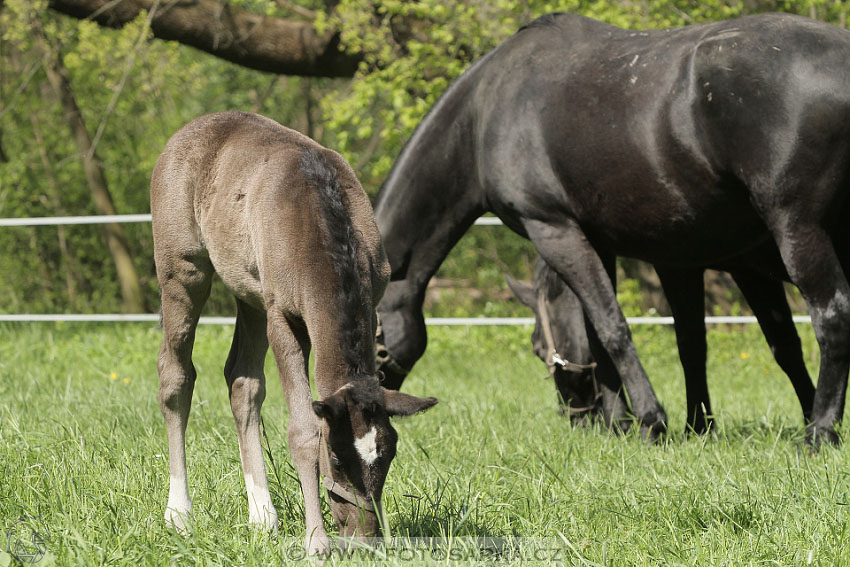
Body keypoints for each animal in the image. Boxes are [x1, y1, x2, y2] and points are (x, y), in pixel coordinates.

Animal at [150, 111, 438, 556]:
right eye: (335, 459)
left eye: (389, 456)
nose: (364, 539)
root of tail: (187, 131)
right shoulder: (282, 319)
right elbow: (302, 431)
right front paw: (316, 541)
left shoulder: (369, 305)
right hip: (183, 272)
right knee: (176, 376)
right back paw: (179, 513)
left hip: (250, 293)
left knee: (242, 382)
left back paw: (262, 516)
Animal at [504, 255, 816, 432]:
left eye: (537, 349)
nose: (573, 419)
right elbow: (786, 347)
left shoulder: (683, 267)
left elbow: (690, 345)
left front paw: (697, 428)